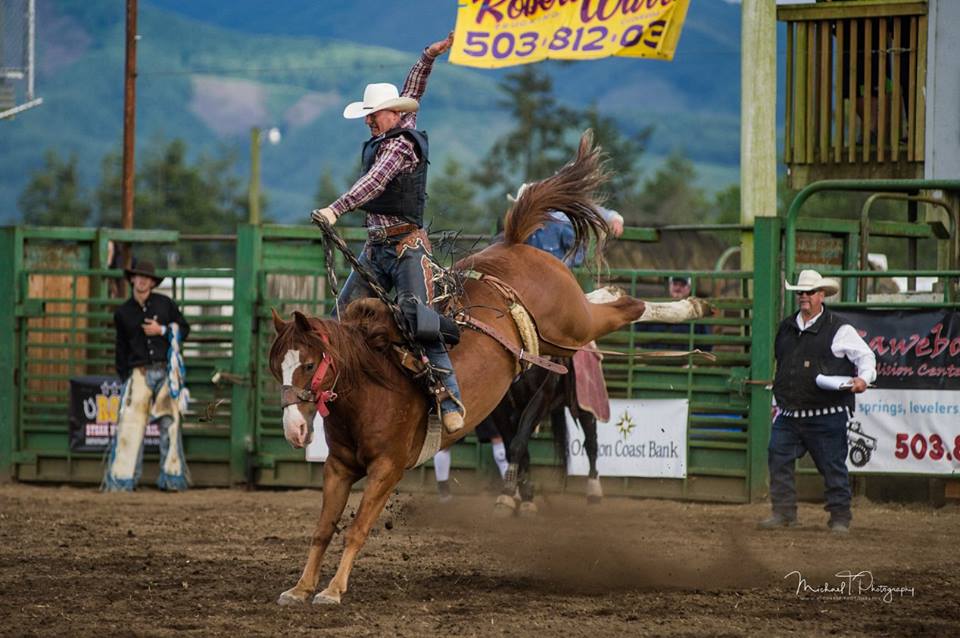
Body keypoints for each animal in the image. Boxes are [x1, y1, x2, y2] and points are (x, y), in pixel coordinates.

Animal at [266, 132, 708, 608]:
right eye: (277, 368)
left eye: (310, 363)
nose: (295, 429)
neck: (372, 385)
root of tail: (516, 243)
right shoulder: (339, 467)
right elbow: (322, 529)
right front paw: (301, 587)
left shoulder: (388, 467)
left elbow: (357, 528)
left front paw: (332, 590)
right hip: (558, 340)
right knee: (608, 301)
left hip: (572, 328)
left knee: (626, 310)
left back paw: (690, 306)